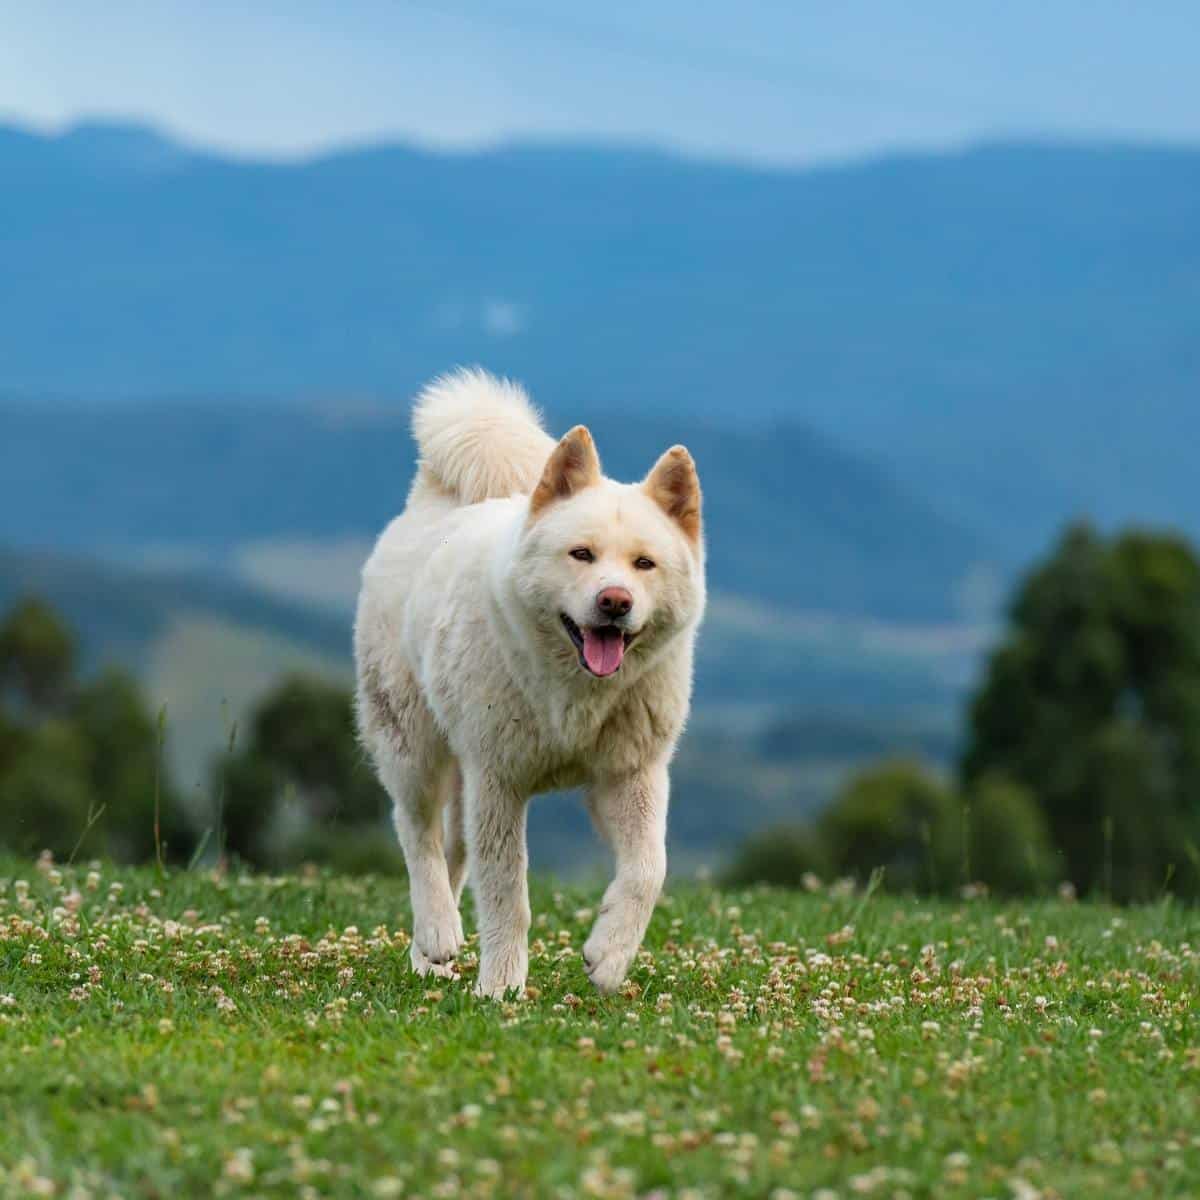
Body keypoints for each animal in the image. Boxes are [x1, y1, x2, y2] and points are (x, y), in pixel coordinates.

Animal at [355, 369, 705, 998]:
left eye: (644, 564)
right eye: (581, 554)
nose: (614, 602)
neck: (574, 691)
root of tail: (431, 502)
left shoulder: (629, 776)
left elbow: (648, 870)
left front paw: (608, 955)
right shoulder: (500, 783)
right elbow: (506, 897)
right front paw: (500, 987)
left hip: (463, 771)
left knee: (452, 848)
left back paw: (429, 959)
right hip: (412, 742)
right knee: (417, 832)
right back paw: (437, 930)